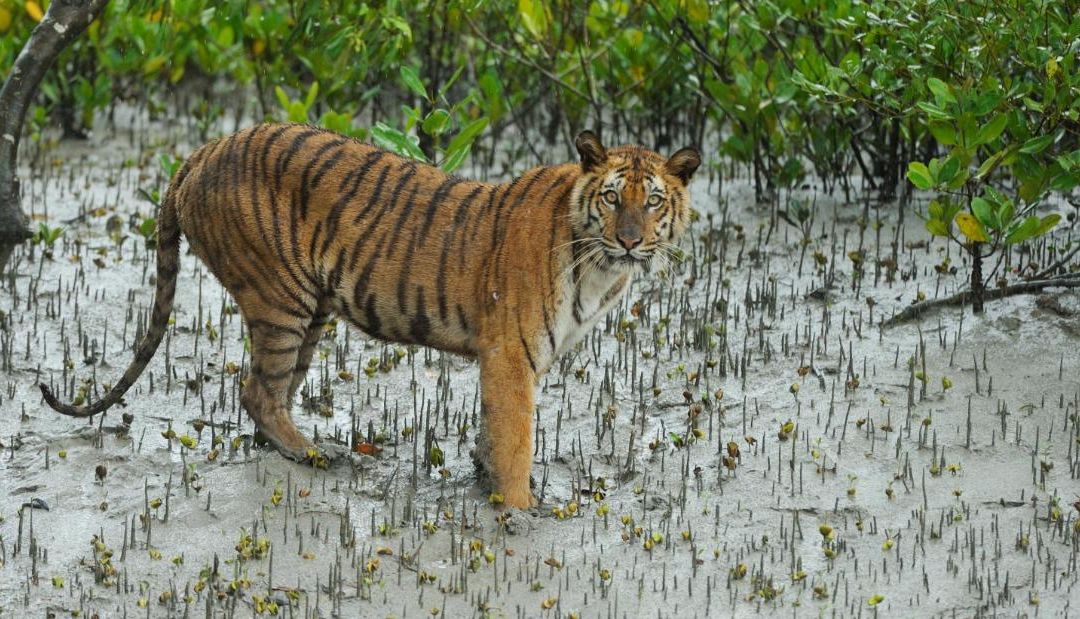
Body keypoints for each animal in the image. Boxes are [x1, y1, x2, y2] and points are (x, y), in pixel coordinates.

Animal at [39, 122, 699, 507]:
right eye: (612, 197)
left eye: (653, 201)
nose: (632, 241)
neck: (599, 265)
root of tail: (201, 150)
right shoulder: (511, 354)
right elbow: (516, 441)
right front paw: (518, 513)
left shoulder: (511, 360)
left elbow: (492, 433)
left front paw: (484, 477)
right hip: (281, 300)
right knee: (257, 391)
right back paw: (313, 455)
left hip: (310, 312)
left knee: (268, 393)